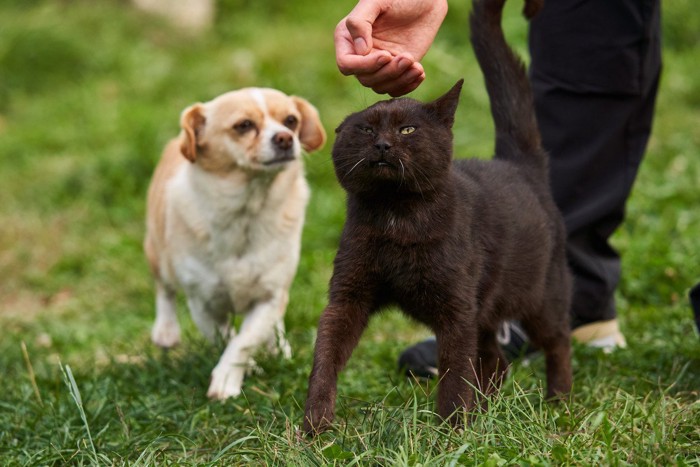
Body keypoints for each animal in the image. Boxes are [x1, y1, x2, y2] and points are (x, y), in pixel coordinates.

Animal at [146, 88, 326, 398]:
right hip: (158, 254)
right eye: (244, 125)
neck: (246, 210)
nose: (285, 138)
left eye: (291, 121)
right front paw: (246, 369)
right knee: (165, 290)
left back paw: (277, 346)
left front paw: (231, 374)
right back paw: (166, 331)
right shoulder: (203, 304)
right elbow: (227, 337)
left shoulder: (270, 297)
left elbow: (244, 340)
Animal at [304, 0, 572, 436]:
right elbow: (325, 357)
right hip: (486, 313)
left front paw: (449, 432)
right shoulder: (347, 296)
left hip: (542, 296)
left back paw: (558, 403)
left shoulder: (456, 311)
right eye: (365, 130)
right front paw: (315, 427)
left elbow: (453, 374)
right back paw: (486, 414)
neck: (396, 216)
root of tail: (519, 165)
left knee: (557, 342)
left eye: (407, 130)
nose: (383, 144)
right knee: (495, 359)